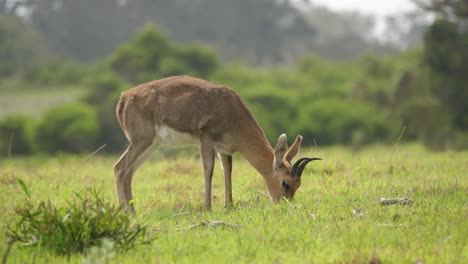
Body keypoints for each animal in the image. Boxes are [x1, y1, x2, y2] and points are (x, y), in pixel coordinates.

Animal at [112, 75, 322, 212]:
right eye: (285, 182)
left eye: (298, 184)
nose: (283, 205)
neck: (231, 110)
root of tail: (124, 98)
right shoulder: (206, 141)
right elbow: (209, 171)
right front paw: (208, 207)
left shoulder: (225, 150)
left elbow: (227, 172)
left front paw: (229, 205)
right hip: (142, 141)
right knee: (119, 168)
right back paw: (126, 213)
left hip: (150, 145)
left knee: (128, 173)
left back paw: (133, 211)